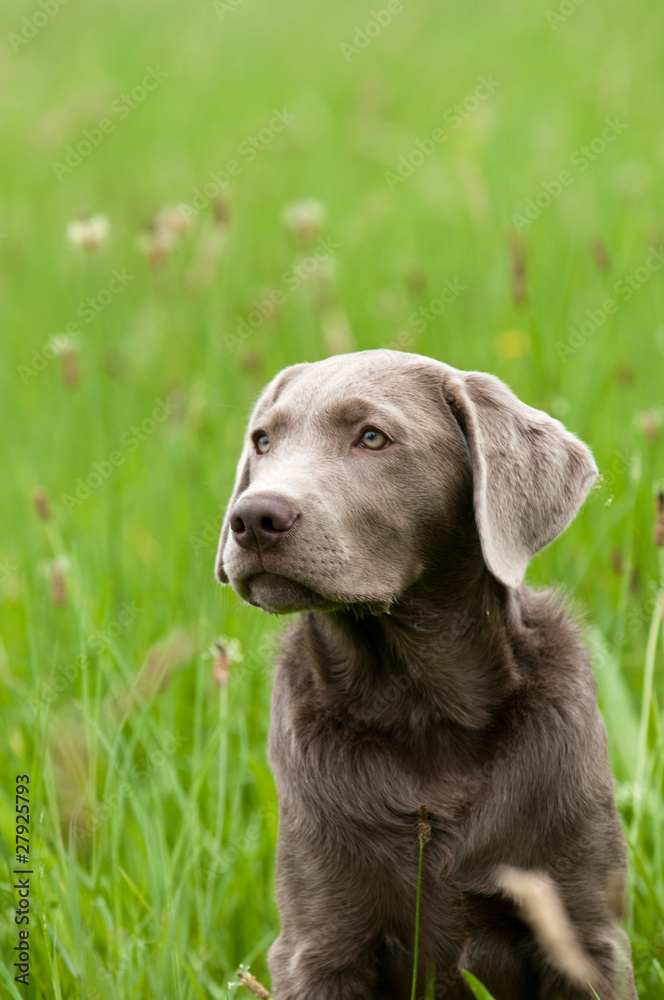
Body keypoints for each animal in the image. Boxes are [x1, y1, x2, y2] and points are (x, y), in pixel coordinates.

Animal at [215, 352, 636, 1000]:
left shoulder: (583, 927)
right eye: (263, 441)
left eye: (372, 438)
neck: (420, 705)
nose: (254, 517)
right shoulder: (320, 939)